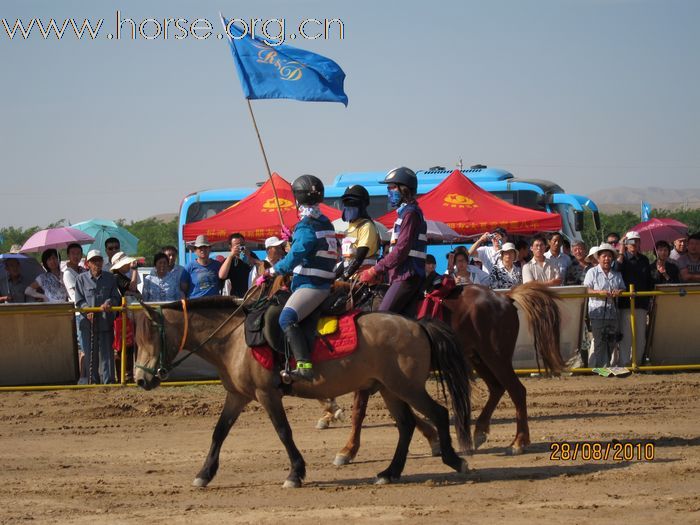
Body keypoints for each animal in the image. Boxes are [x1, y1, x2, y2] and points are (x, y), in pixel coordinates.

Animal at [134, 296, 474, 486]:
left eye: (150, 338)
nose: (140, 379)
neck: (234, 339)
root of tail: (415, 324)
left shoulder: (267, 394)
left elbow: (284, 432)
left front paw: (295, 473)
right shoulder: (237, 396)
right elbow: (219, 432)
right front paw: (204, 474)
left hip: (407, 387)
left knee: (438, 413)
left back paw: (454, 460)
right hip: (391, 389)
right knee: (405, 426)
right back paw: (389, 472)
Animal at [330, 280, 568, 464]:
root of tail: (504, 297)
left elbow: (358, 412)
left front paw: (347, 450)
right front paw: (434, 439)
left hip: (496, 357)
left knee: (517, 391)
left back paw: (518, 442)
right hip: (477, 357)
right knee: (497, 388)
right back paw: (480, 432)